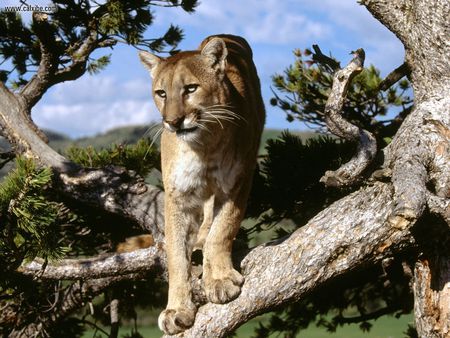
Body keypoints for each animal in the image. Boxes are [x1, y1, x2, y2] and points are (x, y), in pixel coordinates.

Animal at [140, 33, 264, 334]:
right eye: (161, 93)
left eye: (191, 88)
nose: (173, 122)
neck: (203, 145)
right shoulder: (178, 196)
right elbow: (175, 256)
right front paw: (176, 309)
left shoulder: (237, 182)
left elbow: (223, 229)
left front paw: (219, 280)